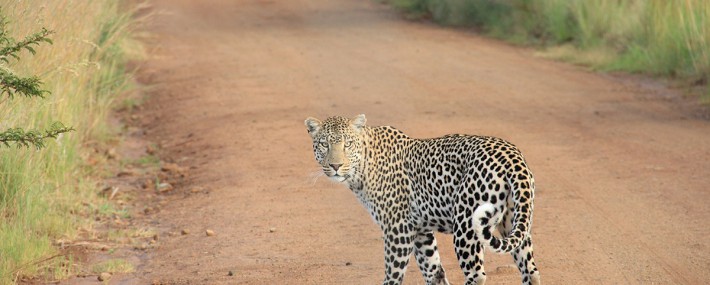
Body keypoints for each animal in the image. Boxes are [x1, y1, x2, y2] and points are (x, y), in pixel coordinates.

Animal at [304, 114, 544, 284]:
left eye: (347, 144)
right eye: (324, 144)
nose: (335, 165)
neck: (362, 167)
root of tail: (512, 157)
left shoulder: (398, 230)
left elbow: (393, 276)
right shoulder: (420, 230)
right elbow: (434, 272)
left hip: (466, 228)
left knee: (477, 275)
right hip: (513, 222)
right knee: (530, 271)